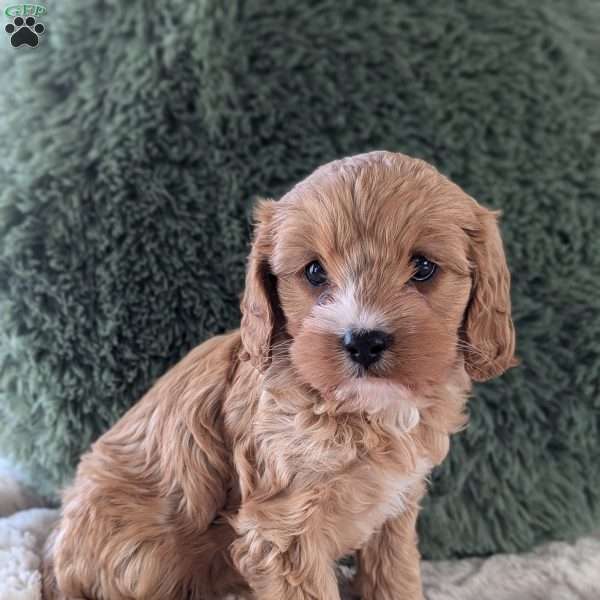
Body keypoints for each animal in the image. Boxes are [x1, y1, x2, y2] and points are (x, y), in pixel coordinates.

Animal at [44, 151, 516, 600]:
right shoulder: (283, 529)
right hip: (141, 557)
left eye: (423, 268)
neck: (363, 411)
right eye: (314, 272)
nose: (364, 341)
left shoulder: (394, 510)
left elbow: (395, 578)